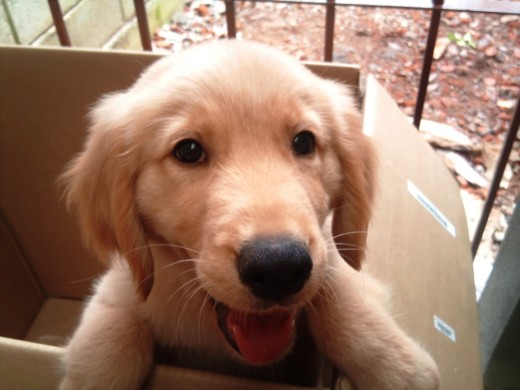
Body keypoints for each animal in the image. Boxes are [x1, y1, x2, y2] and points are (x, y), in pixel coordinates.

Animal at [61, 38, 440, 386]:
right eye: (188, 150)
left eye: (304, 142)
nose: (278, 268)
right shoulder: (119, 291)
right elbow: (110, 339)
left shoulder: (331, 257)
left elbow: (343, 300)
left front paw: (400, 367)